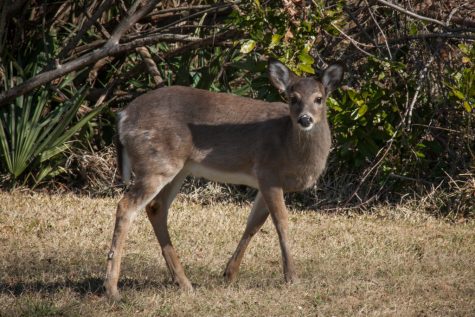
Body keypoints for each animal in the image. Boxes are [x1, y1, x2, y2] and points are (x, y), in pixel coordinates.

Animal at [104, 58, 344, 300]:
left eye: (319, 98)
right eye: (293, 98)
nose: (305, 119)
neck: (289, 145)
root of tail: (122, 115)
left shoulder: (265, 182)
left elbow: (254, 224)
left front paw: (229, 273)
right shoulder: (269, 173)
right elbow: (281, 223)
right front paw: (292, 277)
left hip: (178, 168)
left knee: (156, 207)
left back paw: (183, 282)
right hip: (156, 163)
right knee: (126, 206)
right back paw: (112, 289)